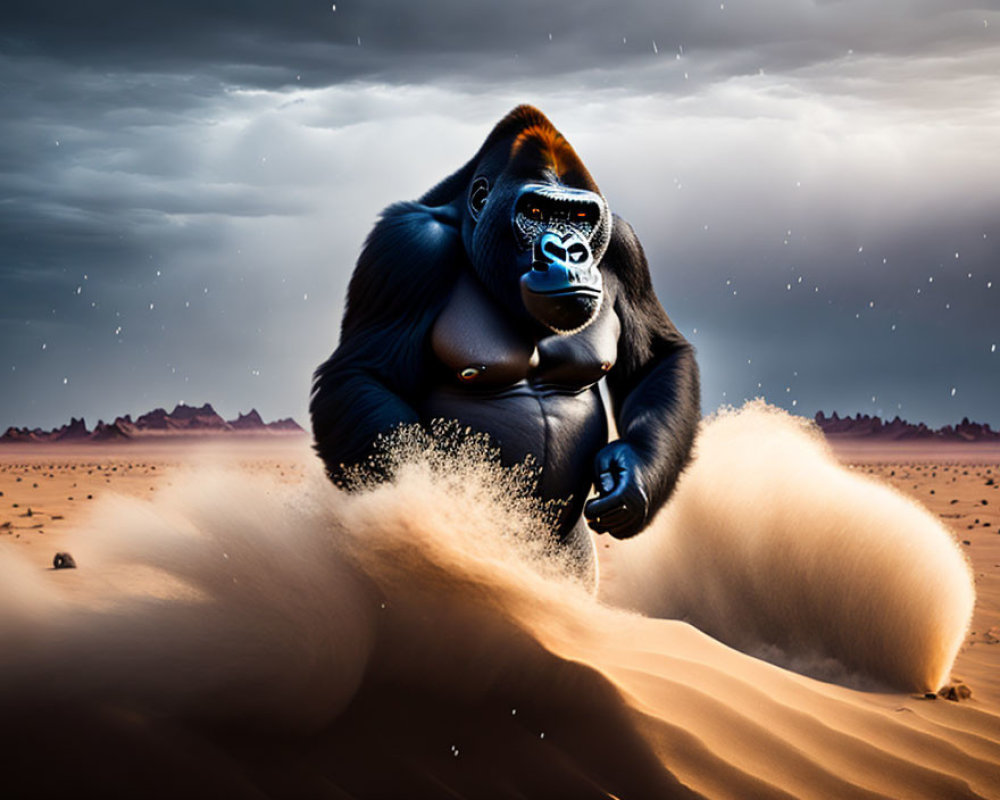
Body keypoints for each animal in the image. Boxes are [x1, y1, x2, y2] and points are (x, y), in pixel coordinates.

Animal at [310, 106, 696, 576]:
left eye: (580, 218)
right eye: (536, 210)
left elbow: (656, 360)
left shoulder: (623, 243)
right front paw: (435, 507)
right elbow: (362, 373)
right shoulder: (406, 246)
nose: (569, 252)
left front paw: (630, 474)